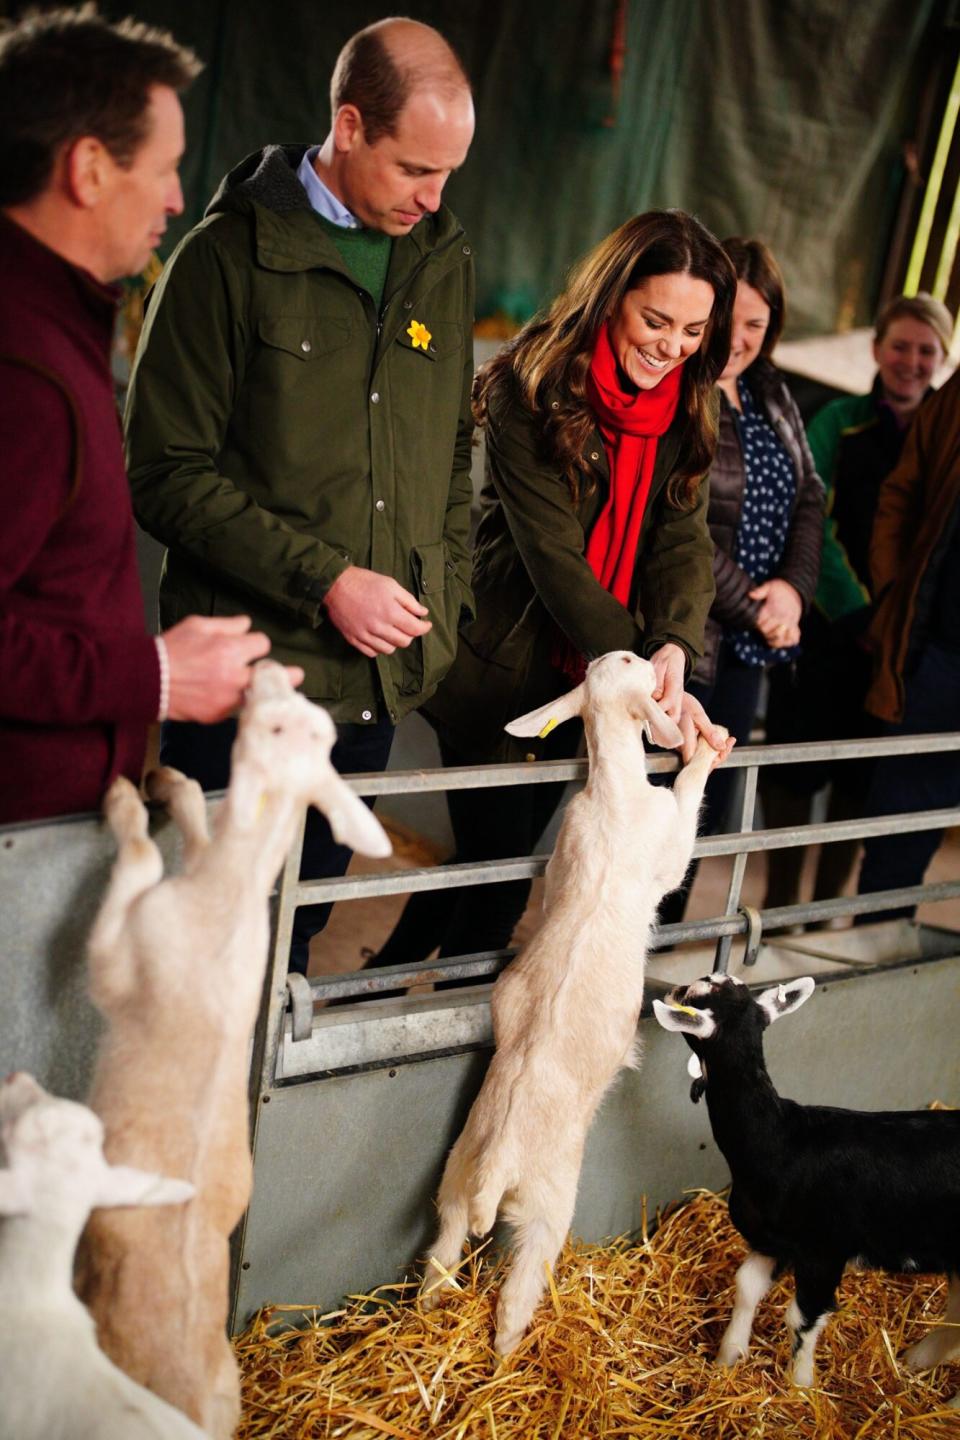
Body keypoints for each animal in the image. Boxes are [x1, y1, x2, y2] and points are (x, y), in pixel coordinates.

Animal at [75, 662, 391, 1440]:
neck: (231, 895)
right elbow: (194, 821)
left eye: (279, 723)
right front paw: (166, 783)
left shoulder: (119, 959)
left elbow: (139, 855)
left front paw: (123, 799)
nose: (271, 668)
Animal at [420, 648, 728, 1353]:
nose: (648, 656)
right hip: (546, 1205)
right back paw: (508, 1356)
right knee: (515, 1301)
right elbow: (687, 808)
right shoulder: (668, 845)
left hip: (454, 1179)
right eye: (633, 661)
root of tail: (496, 1165)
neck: (612, 792)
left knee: (439, 1261)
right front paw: (705, 747)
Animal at [653, 973, 960, 1399]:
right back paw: (918, 1362)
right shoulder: (773, 1242)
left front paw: (800, 1386)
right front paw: (728, 1357)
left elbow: (801, 1317)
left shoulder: (823, 1250)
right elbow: (746, 1286)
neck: (780, 1141)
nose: (671, 989)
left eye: (697, 992)